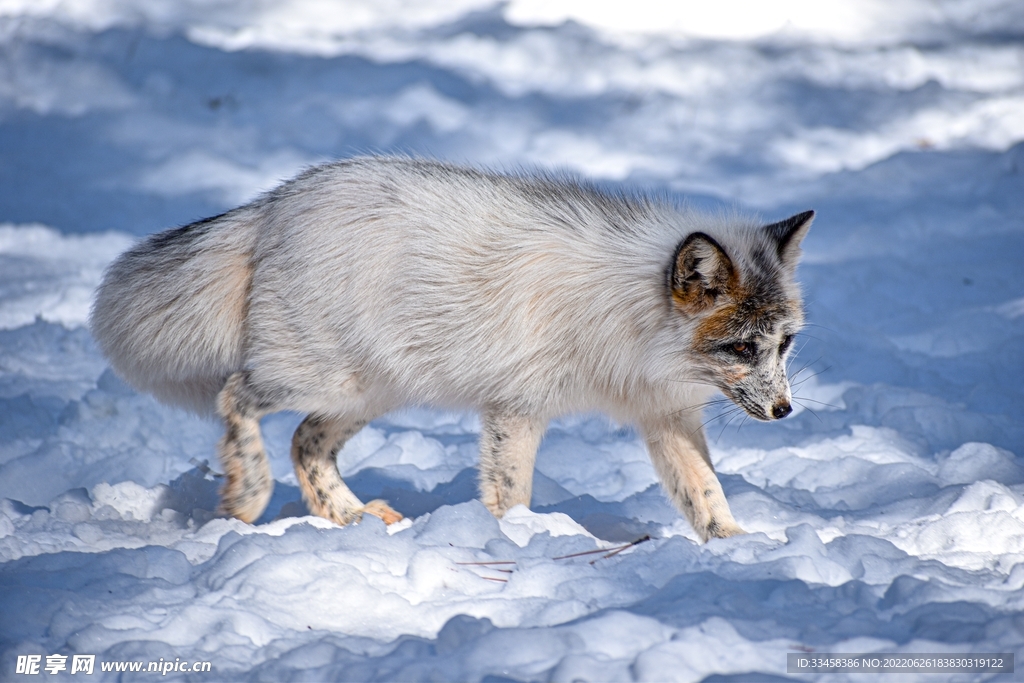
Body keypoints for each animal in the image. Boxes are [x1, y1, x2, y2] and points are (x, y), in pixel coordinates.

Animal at [92, 156, 811, 544]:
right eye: (741, 347)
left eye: (784, 344)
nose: (784, 411)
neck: (629, 318)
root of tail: (278, 201)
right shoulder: (517, 409)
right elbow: (509, 492)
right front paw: (520, 542)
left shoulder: (664, 415)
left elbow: (707, 496)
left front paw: (736, 549)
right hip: (317, 378)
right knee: (235, 397)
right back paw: (247, 494)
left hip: (371, 391)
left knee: (304, 442)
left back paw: (349, 516)